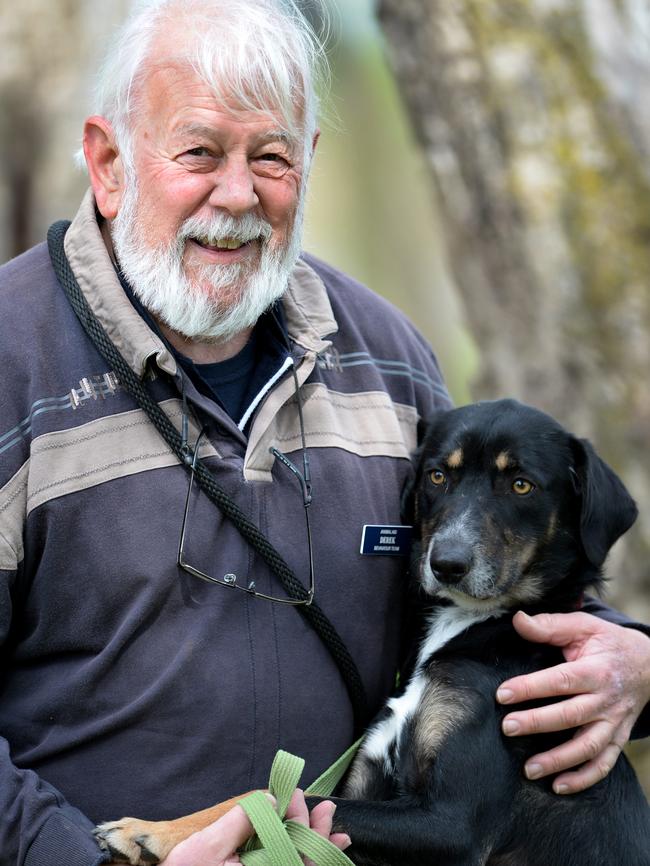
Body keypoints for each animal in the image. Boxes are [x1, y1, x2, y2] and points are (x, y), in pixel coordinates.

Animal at [96, 400, 648, 864]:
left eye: (521, 485)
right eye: (438, 475)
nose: (447, 564)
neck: (471, 625)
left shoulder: (453, 825)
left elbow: (271, 797)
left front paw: (153, 831)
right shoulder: (364, 783)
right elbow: (277, 795)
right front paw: (156, 828)